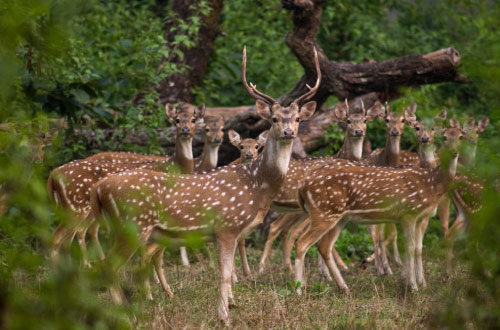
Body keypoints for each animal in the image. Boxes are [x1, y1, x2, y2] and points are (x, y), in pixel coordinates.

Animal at [48, 105, 205, 266]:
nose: (185, 129)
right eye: (177, 120)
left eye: (194, 120)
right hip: (76, 206)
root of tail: (53, 174)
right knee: (61, 237)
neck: (174, 166)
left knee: (71, 237)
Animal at [86, 46, 320, 324]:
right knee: (107, 266)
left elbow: (229, 274)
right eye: (273, 119)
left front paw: (229, 309)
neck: (256, 185)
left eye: (297, 119)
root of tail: (99, 190)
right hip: (132, 225)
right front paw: (224, 317)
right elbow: (224, 274)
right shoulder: (227, 226)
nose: (288, 132)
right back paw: (123, 316)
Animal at [294, 120, 466, 292]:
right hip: (324, 212)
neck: (430, 183)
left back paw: (344, 288)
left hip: (339, 216)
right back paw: (298, 289)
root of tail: (302, 187)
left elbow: (418, 248)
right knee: (302, 243)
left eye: (461, 137)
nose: (453, 152)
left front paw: (421, 284)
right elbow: (409, 248)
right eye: (444, 137)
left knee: (324, 246)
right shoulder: (408, 214)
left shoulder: (419, 217)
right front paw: (412, 286)